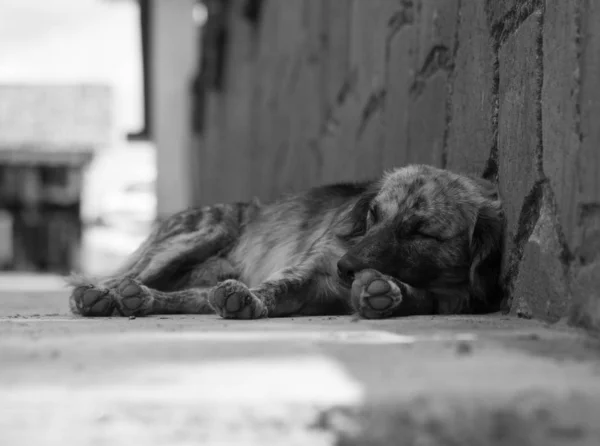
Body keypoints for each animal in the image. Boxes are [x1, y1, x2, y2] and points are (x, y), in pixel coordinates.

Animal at [68, 166, 504, 318]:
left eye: (421, 232)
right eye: (374, 215)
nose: (346, 269)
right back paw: (98, 296)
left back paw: (139, 299)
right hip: (202, 233)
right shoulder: (311, 273)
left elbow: (421, 296)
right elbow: (276, 286)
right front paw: (252, 299)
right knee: (118, 279)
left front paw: (387, 292)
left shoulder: (450, 298)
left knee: (188, 297)